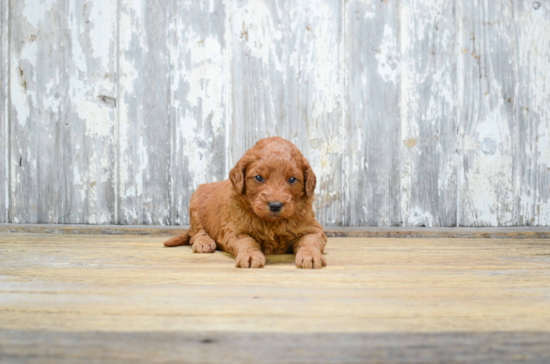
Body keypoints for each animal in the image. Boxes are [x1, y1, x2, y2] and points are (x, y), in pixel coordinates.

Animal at [164, 136, 328, 268]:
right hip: (195, 203)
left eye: (292, 179)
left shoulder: (313, 229)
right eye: (258, 177)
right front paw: (250, 255)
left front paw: (310, 255)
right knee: (195, 232)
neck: (272, 224)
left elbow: (310, 241)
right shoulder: (234, 230)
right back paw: (204, 242)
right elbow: (247, 241)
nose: (275, 205)